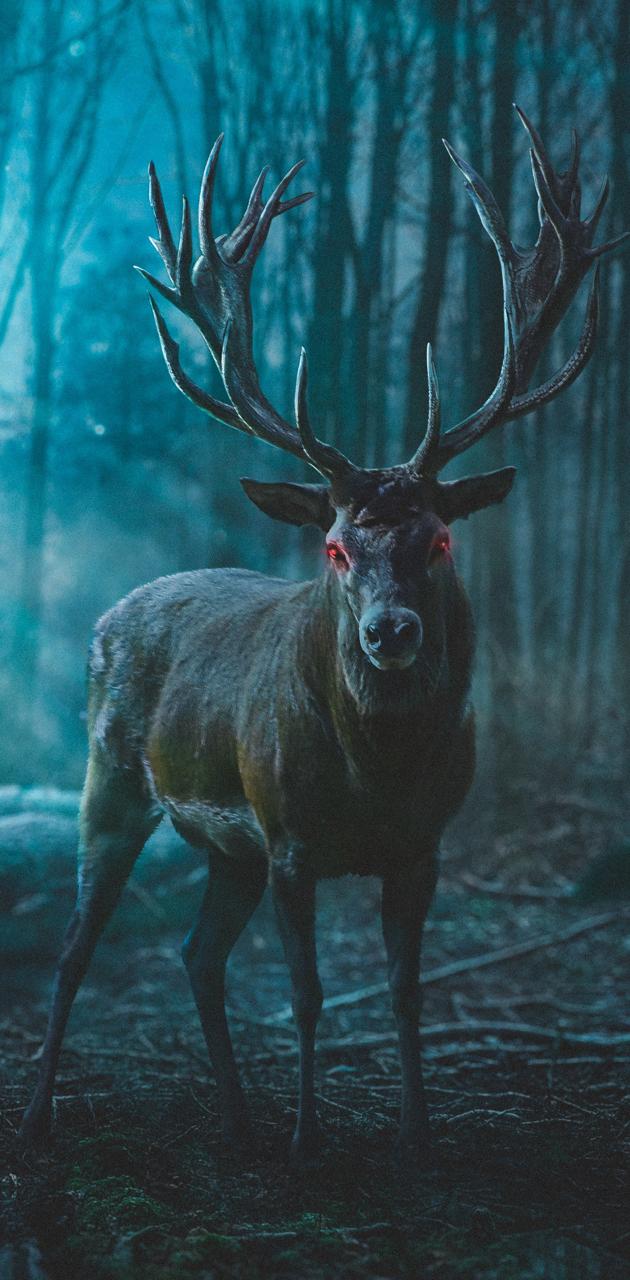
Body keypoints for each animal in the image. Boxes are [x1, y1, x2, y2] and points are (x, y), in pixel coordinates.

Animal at [20, 107, 627, 1165]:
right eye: (337, 546)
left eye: (440, 537)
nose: (390, 631)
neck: (375, 772)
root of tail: (111, 612)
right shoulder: (291, 838)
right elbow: (305, 996)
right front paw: (308, 1139)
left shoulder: (424, 847)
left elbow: (407, 991)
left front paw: (417, 1139)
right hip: (112, 781)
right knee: (73, 949)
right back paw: (43, 1116)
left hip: (226, 851)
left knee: (196, 953)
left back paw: (235, 1119)